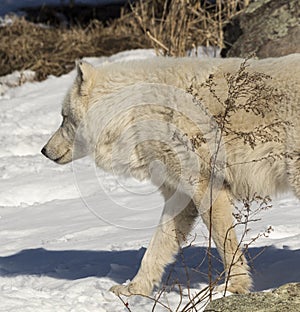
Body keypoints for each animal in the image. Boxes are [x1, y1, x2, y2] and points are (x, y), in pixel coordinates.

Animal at [41, 54, 300, 296]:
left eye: (64, 117)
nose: (43, 150)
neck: (134, 115)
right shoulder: (180, 196)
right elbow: (155, 248)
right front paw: (134, 290)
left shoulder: (206, 187)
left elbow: (223, 241)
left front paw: (234, 287)